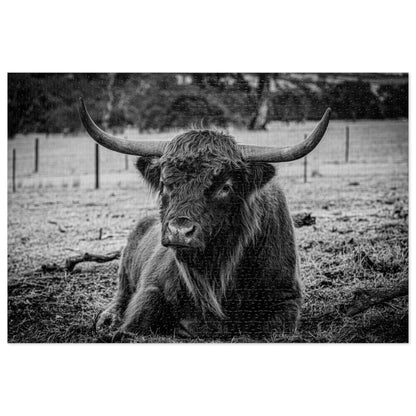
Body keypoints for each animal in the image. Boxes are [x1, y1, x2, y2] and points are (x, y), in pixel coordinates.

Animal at [79, 99, 332, 340]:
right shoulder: (151, 289)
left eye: (225, 186)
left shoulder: (286, 298)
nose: (179, 231)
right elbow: (131, 326)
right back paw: (107, 319)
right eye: (164, 182)